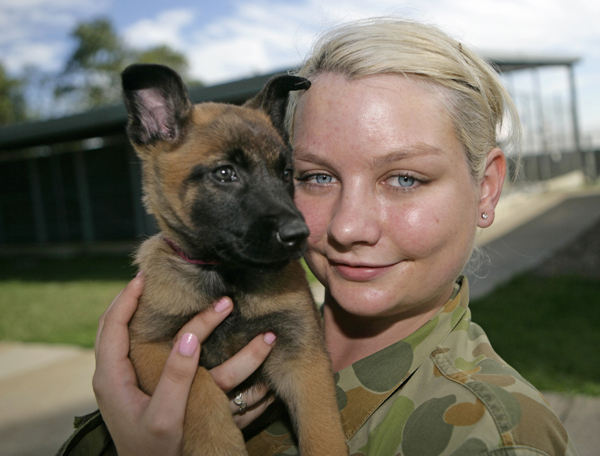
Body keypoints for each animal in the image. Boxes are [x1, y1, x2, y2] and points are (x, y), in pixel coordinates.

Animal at [120, 65, 346, 456]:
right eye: (225, 173)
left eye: (285, 173)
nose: (298, 235)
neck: (226, 278)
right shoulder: (152, 346)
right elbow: (199, 389)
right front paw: (218, 442)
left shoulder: (302, 354)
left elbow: (323, 428)